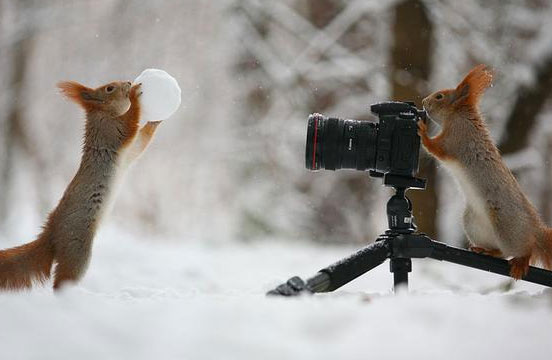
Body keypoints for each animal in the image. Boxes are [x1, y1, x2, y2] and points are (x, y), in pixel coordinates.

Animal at [0, 79, 162, 290]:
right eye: (109, 88)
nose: (127, 82)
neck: (103, 113)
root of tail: (51, 234)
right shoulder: (112, 132)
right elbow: (130, 124)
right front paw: (134, 95)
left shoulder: (129, 153)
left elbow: (141, 141)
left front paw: (155, 121)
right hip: (77, 248)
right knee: (63, 279)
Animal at [418, 64, 552, 278]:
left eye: (440, 96)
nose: (423, 102)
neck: (457, 116)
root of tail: (534, 229)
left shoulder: (455, 139)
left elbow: (436, 148)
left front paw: (422, 131)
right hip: (473, 224)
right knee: (500, 252)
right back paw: (485, 250)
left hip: (507, 227)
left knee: (523, 249)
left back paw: (521, 260)